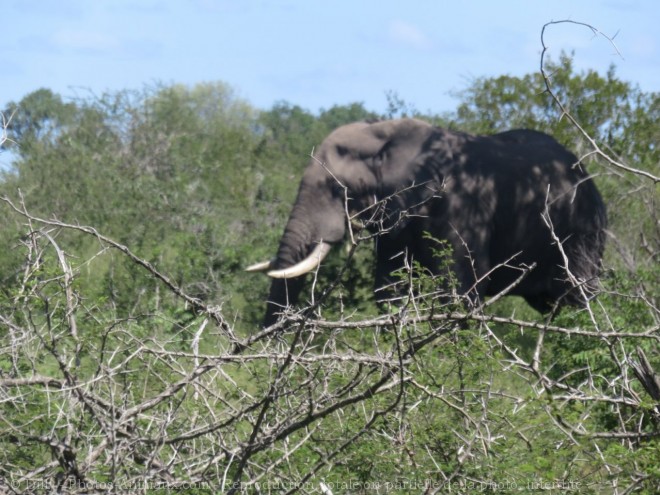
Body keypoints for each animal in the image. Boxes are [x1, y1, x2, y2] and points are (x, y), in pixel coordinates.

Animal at [249, 118, 608, 328]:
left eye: (338, 190)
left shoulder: (463, 207)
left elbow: (458, 291)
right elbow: (389, 288)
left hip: (582, 231)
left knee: (577, 295)